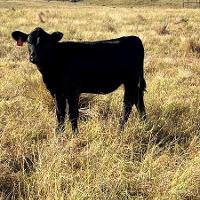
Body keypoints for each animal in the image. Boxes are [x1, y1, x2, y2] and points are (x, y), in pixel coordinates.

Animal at [12, 26, 147, 133]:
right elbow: (60, 113)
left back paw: (120, 130)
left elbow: (72, 114)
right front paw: (60, 135)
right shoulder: (56, 91)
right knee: (139, 102)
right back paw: (144, 125)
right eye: (28, 42)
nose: (34, 57)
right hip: (135, 83)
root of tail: (134, 38)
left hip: (131, 81)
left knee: (127, 105)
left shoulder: (73, 91)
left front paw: (75, 135)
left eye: (46, 43)